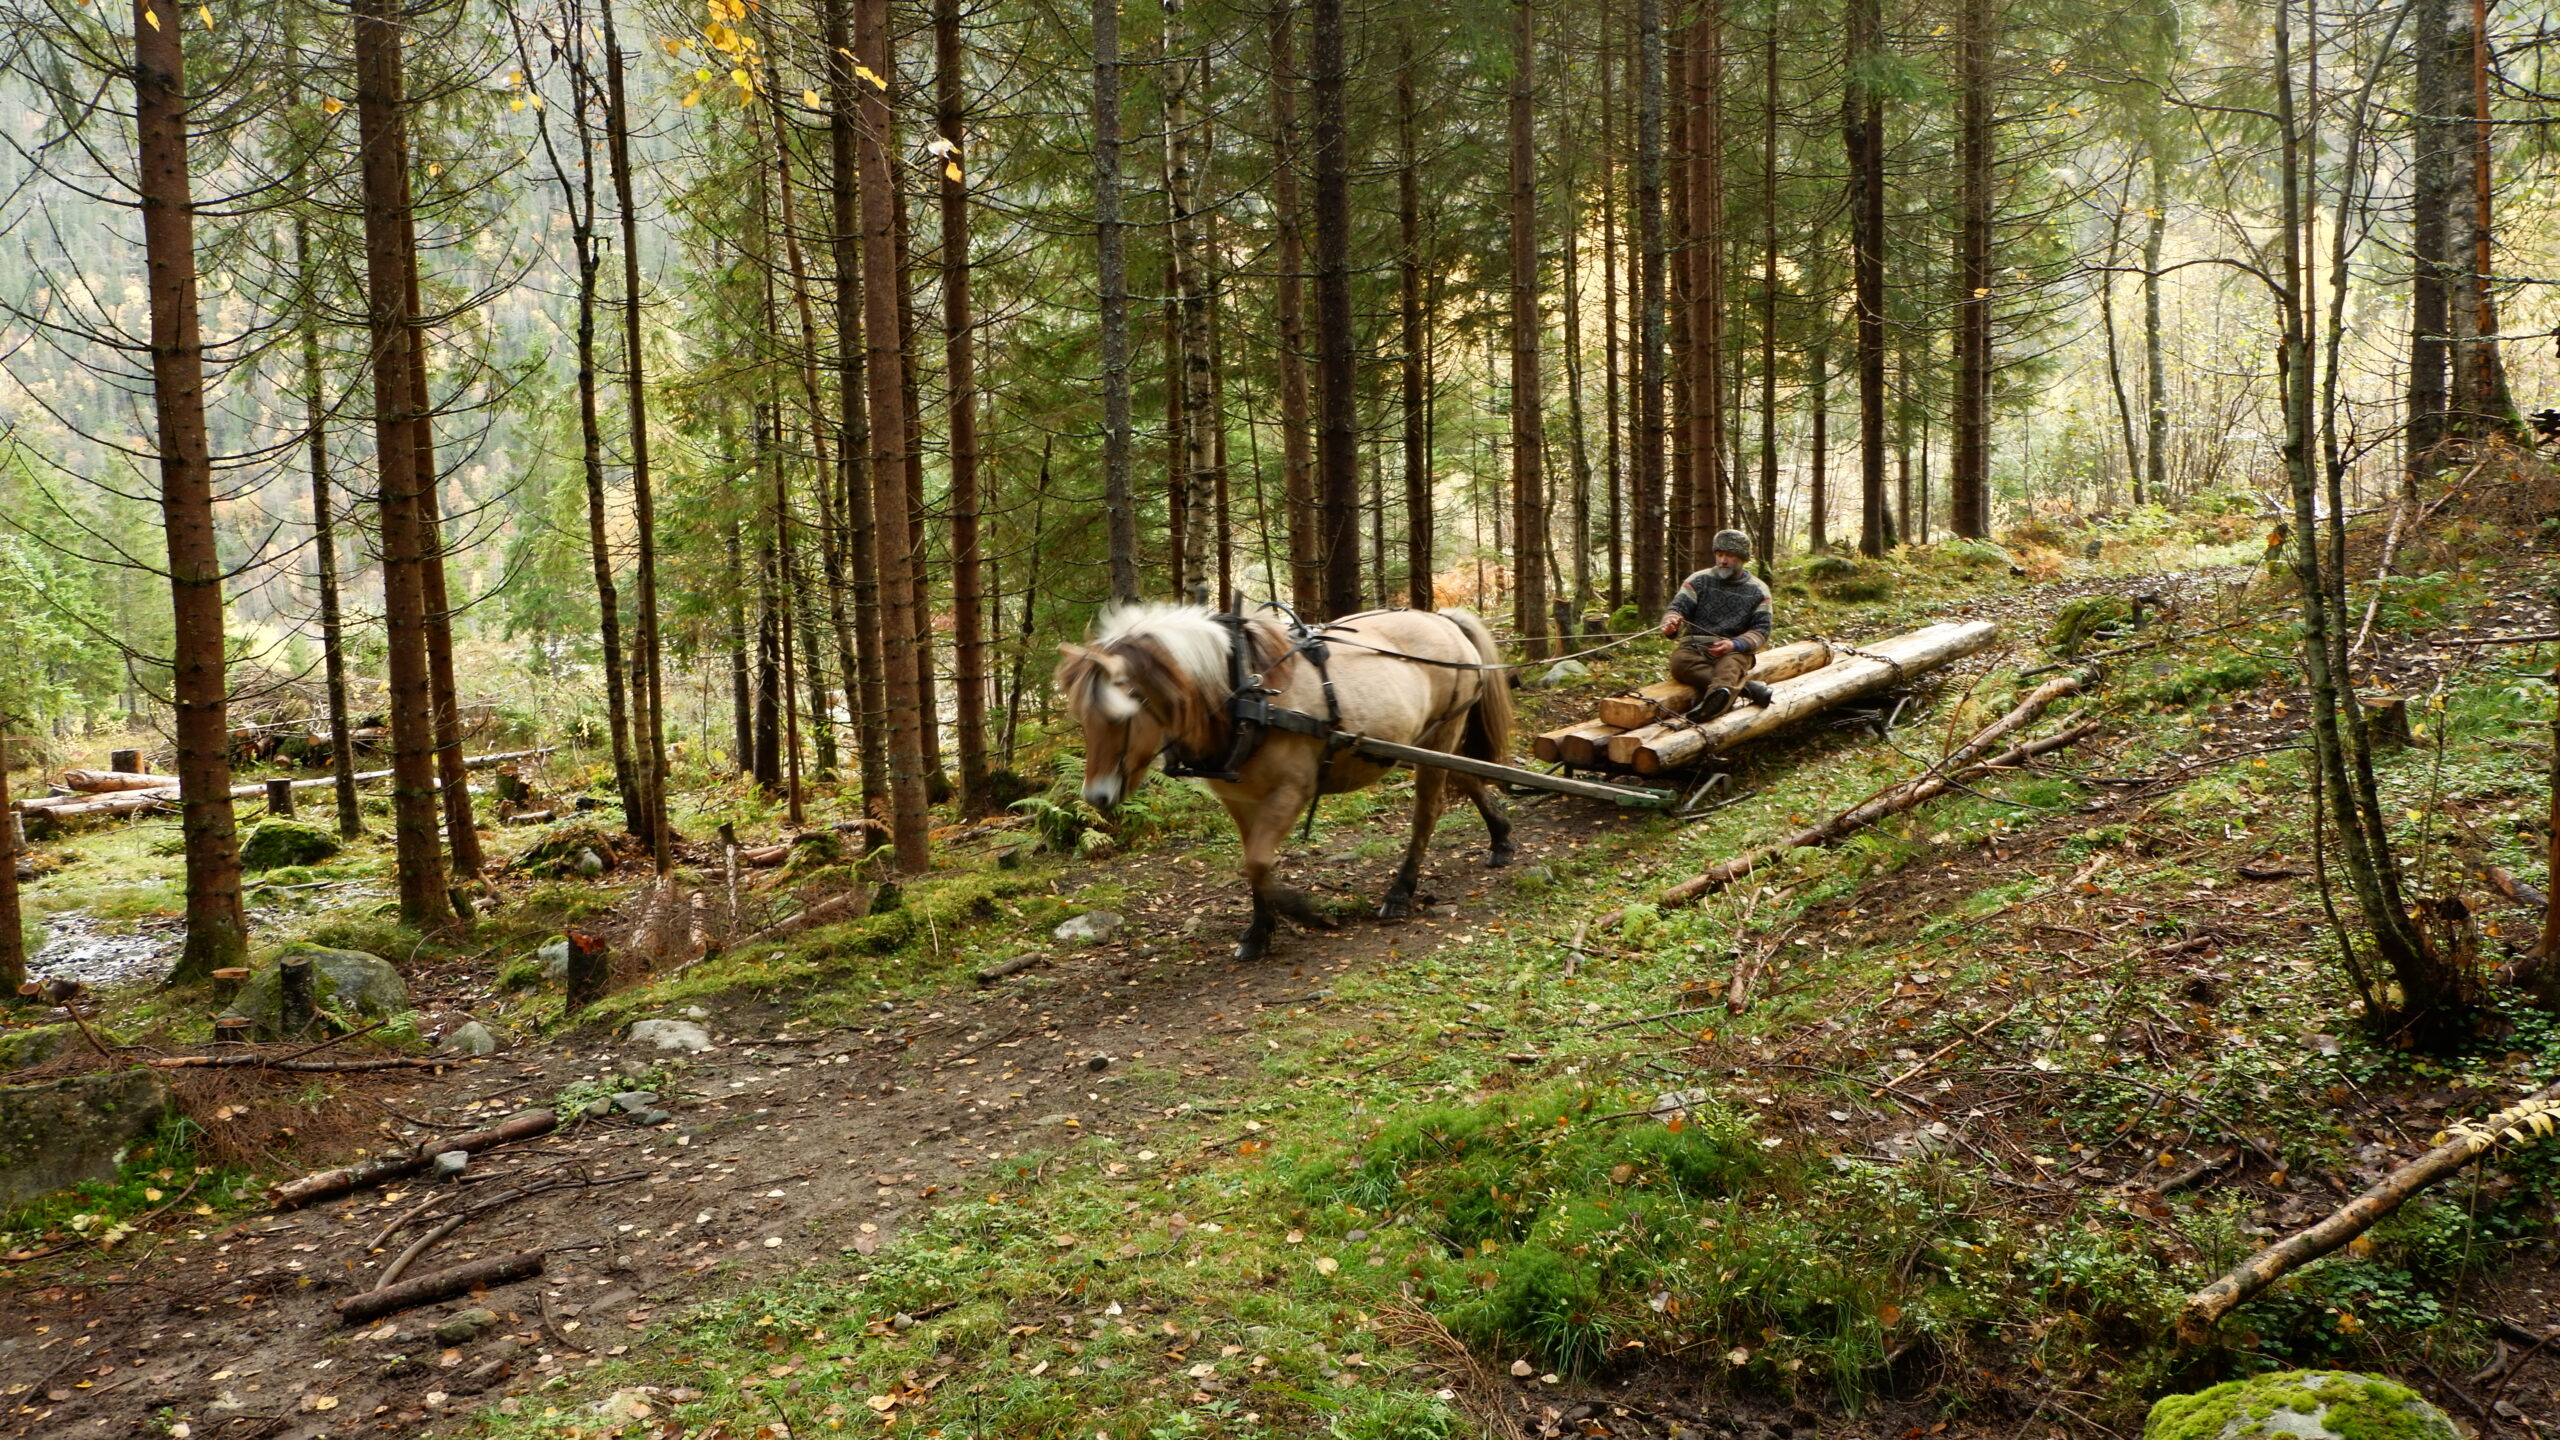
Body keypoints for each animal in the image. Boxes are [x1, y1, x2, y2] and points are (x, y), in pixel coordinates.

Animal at [1056, 603, 1516, 960]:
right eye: (1081, 717)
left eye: (1121, 715)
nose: (1096, 796)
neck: (1244, 693)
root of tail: (1442, 619)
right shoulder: (1240, 800)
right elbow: (1252, 864)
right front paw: (1260, 932)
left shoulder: (1292, 792)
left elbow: (1259, 861)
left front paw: (1305, 912)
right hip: (1424, 740)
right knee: (1466, 776)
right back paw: (1501, 839)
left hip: (1443, 730)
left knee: (1426, 813)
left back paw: (1400, 892)